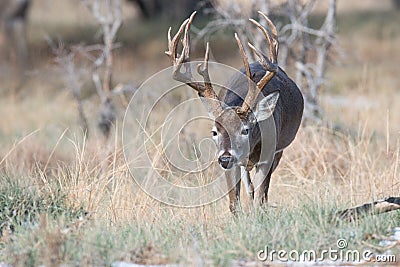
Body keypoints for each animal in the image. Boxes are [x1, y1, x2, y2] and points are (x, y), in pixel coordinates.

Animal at [166, 11, 304, 215]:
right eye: (214, 132)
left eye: (245, 129)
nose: (225, 157)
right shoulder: (231, 166)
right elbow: (234, 203)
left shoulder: (269, 155)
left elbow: (261, 197)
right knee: (249, 187)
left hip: (279, 150)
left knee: (260, 191)